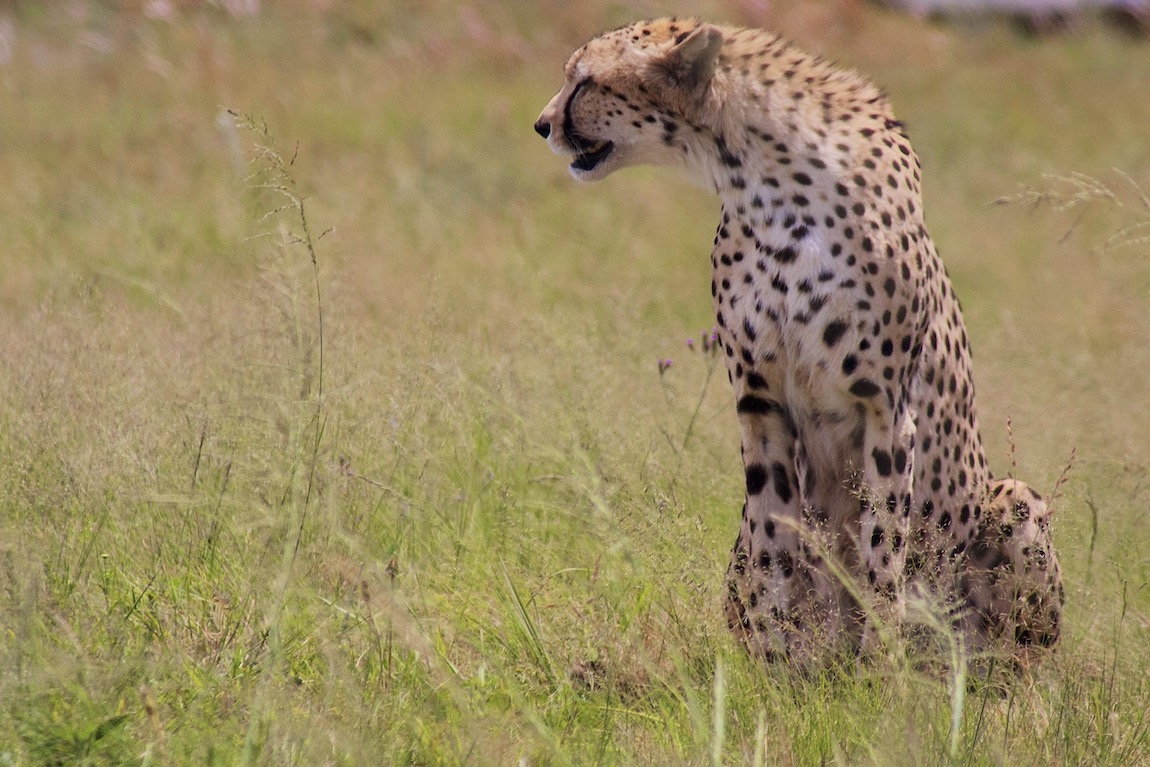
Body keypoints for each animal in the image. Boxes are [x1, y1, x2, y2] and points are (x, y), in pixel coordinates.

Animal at [535, 17, 1063, 666]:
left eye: (584, 82)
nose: (542, 124)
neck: (765, 182)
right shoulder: (759, 402)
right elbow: (774, 538)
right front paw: (775, 665)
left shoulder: (887, 410)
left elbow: (882, 548)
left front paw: (880, 670)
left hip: (1013, 505)